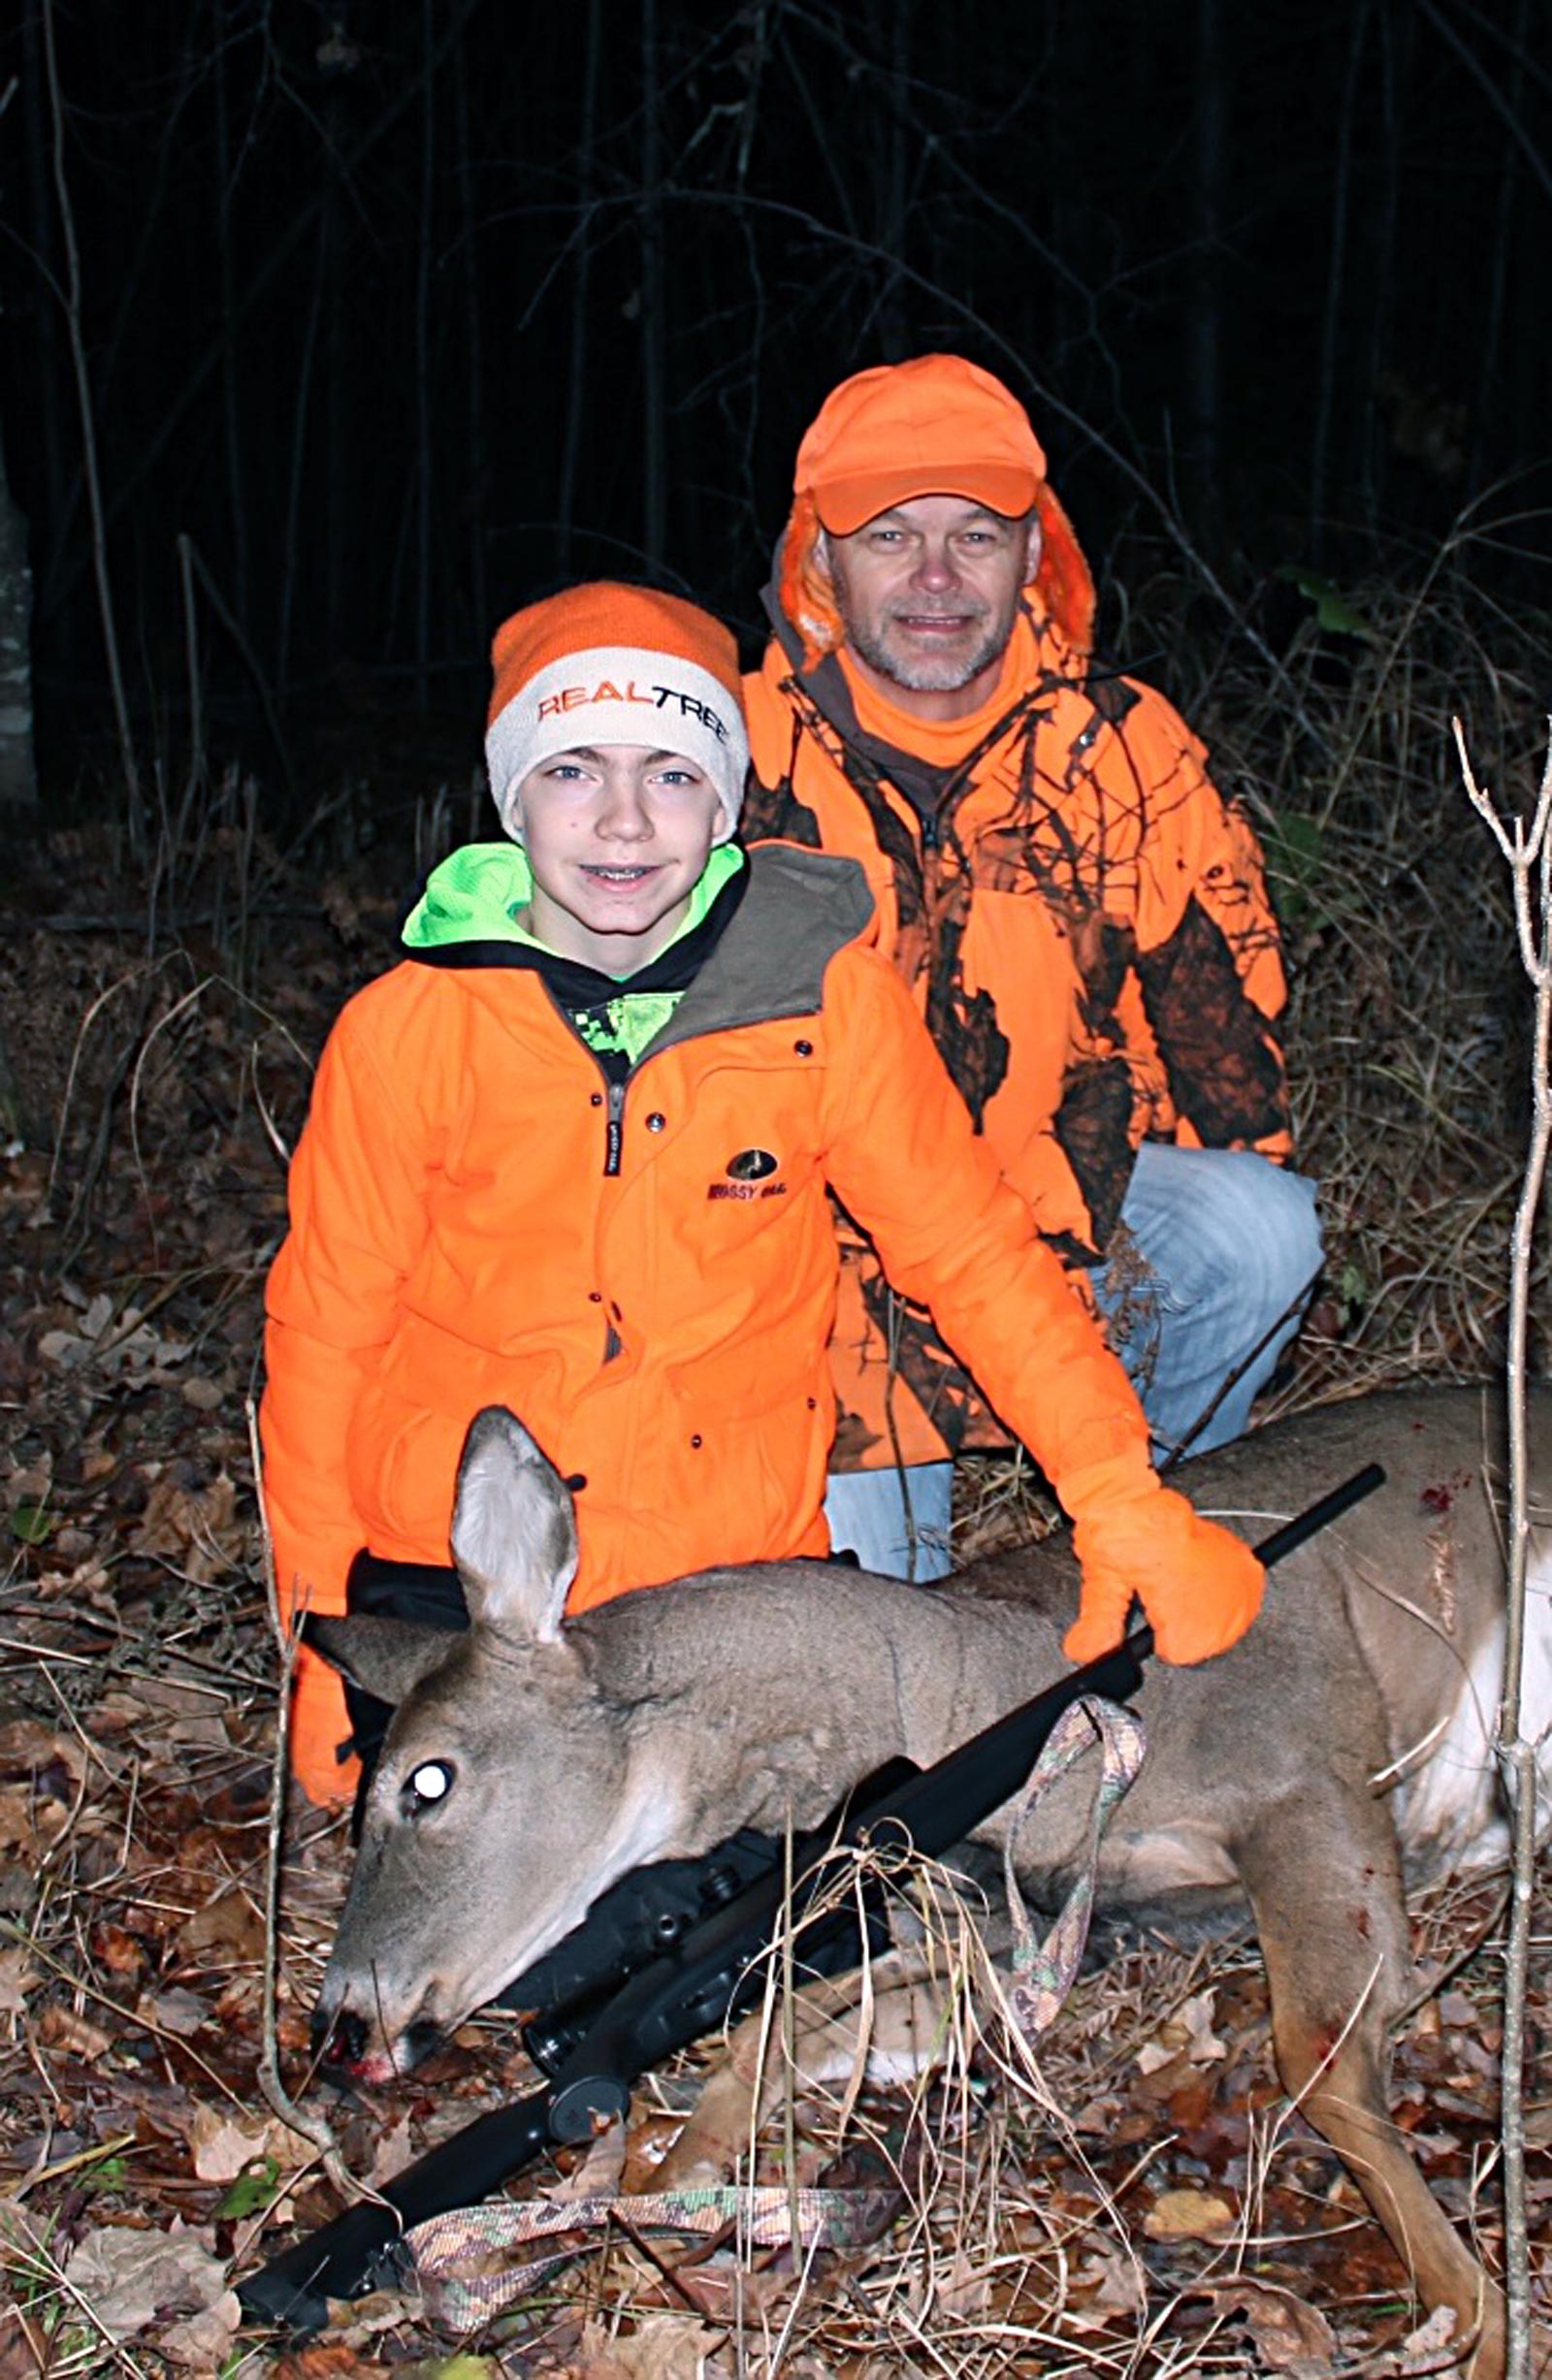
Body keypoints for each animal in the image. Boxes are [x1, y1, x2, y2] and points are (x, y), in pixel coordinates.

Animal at [307, 1390, 1552, 2370]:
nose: (340, 2020)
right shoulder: (987, 1925)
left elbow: (1322, 2059)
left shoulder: (1307, 1760)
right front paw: (686, 2179)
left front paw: (1483, 2322)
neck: (965, 1692)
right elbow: (777, 2032)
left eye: (427, 1780)